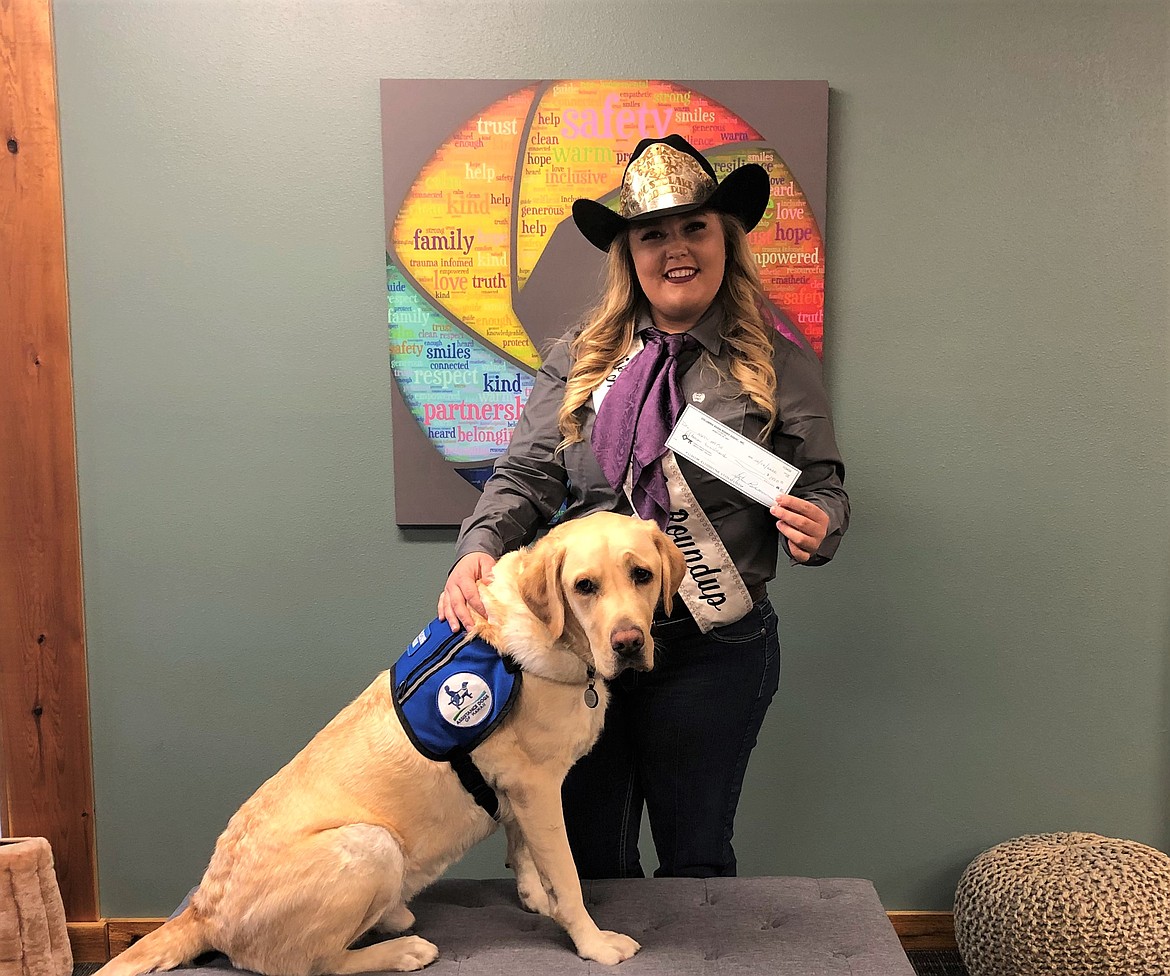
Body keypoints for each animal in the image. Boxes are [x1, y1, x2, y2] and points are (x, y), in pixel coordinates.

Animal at [100, 510, 687, 973]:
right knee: (312, 963)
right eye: (584, 586)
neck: (551, 639)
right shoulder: (539, 788)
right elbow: (567, 874)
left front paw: (532, 896)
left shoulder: (518, 790)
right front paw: (592, 943)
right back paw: (401, 951)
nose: (629, 642)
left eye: (642, 575)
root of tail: (203, 911)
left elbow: (522, 847)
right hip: (370, 844)